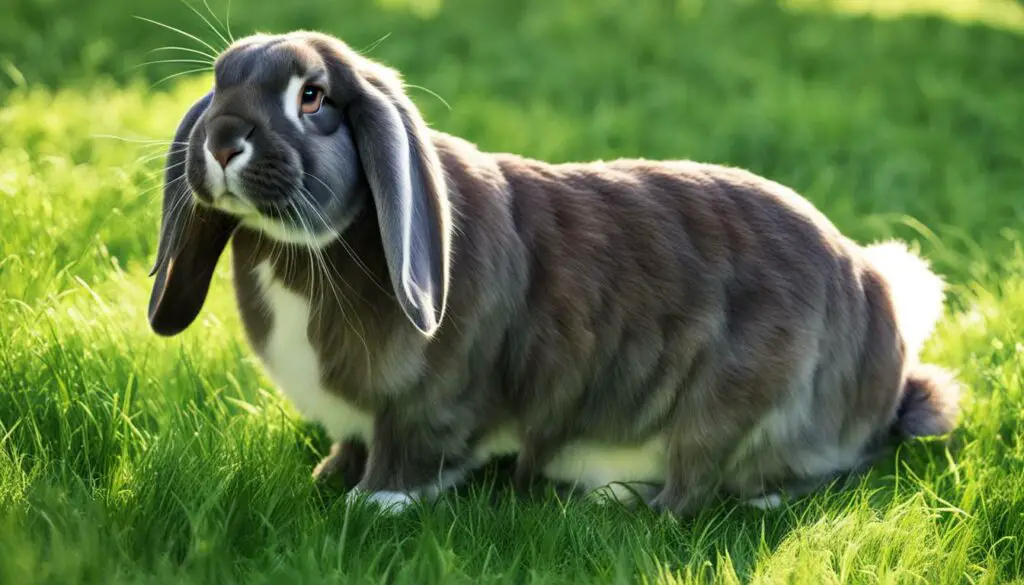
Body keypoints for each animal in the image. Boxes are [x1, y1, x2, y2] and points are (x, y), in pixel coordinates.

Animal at [148, 29, 962, 514]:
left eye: (311, 96)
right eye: (221, 79)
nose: (222, 139)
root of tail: (880, 317)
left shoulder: (429, 408)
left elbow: (411, 454)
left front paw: (368, 504)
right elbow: (352, 443)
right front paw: (329, 476)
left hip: (732, 406)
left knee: (706, 486)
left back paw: (642, 506)